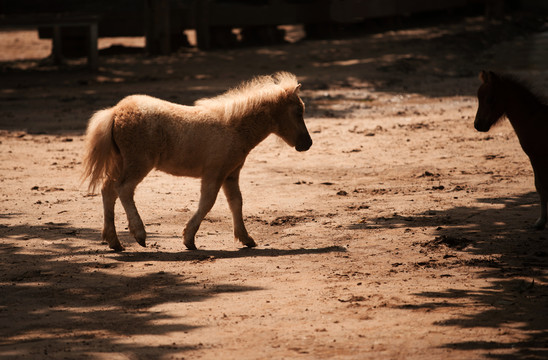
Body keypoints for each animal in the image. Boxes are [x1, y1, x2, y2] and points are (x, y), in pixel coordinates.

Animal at [476, 69, 548, 228]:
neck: (535, 120)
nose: (477, 125)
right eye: (478, 98)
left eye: (490, 99)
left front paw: (541, 222)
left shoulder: (537, 157)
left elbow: (541, 186)